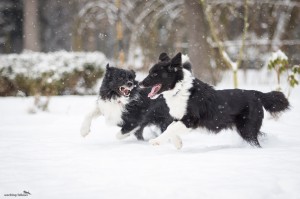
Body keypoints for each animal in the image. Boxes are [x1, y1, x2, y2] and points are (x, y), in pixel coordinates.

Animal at [139, 52, 290, 148]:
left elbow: (170, 128)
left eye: (154, 74)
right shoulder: (178, 118)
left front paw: (156, 141)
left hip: (247, 129)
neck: (179, 89)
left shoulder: (191, 120)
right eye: (149, 72)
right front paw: (178, 144)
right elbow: (171, 128)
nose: (140, 84)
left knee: (255, 143)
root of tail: (256, 94)